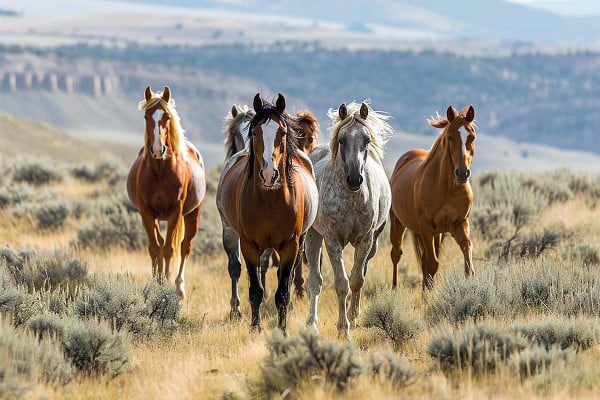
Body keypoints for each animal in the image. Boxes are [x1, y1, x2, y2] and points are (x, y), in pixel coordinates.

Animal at [126, 86, 206, 298]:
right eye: (146, 116)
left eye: (167, 117)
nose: (157, 150)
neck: (160, 172)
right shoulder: (146, 212)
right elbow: (155, 248)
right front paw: (156, 283)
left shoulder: (174, 212)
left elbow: (170, 249)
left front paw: (168, 286)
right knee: (161, 244)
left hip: (192, 214)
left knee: (185, 246)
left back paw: (179, 286)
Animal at [216, 92, 318, 332]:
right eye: (254, 132)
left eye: (283, 132)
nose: (269, 174)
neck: (270, 200)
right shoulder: (249, 245)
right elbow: (255, 289)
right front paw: (255, 327)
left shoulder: (291, 245)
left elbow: (283, 291)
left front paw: (283, 329)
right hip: (229, 231)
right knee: (235, 268)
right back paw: (236, 310)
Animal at [304, 100, 394, 338]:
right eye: (342, 140)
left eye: (367, 140)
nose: (354, 179)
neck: (351, 198)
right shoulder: (332, 240)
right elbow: (341, 283)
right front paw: (343, 328)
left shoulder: (366, 239)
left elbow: (357, 279)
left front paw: (353, 317)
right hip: (313, 237)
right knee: (315, 281)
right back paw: (311, 323)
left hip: (374, 243)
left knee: (361, 271)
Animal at [390, 104, 478, 290]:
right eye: (450, 137)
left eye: (472, 137)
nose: (462, 173)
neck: (446, 189)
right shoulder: (427, 228)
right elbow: (432, 264)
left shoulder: (459, 224)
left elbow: (467, 255)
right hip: (398, 223)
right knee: (396, 254)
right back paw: (394, 289)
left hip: (438, 234)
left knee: (423, 260)